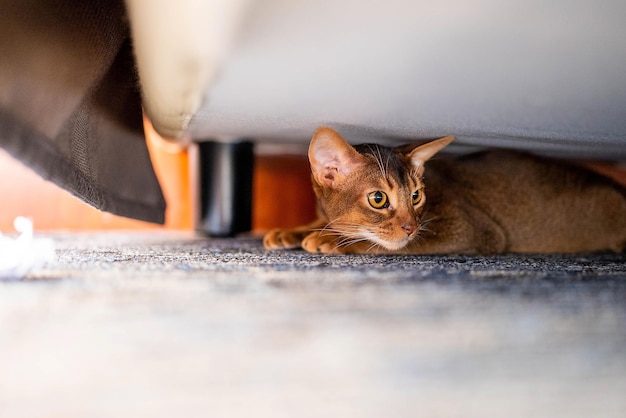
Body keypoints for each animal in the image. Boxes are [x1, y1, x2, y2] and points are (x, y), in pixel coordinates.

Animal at [262, 126, 624, 255]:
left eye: (416, 195)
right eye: (378, 199)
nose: (411, 226)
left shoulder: (471, 230)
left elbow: (388, 246)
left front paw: (331, 240)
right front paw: (291, 231)